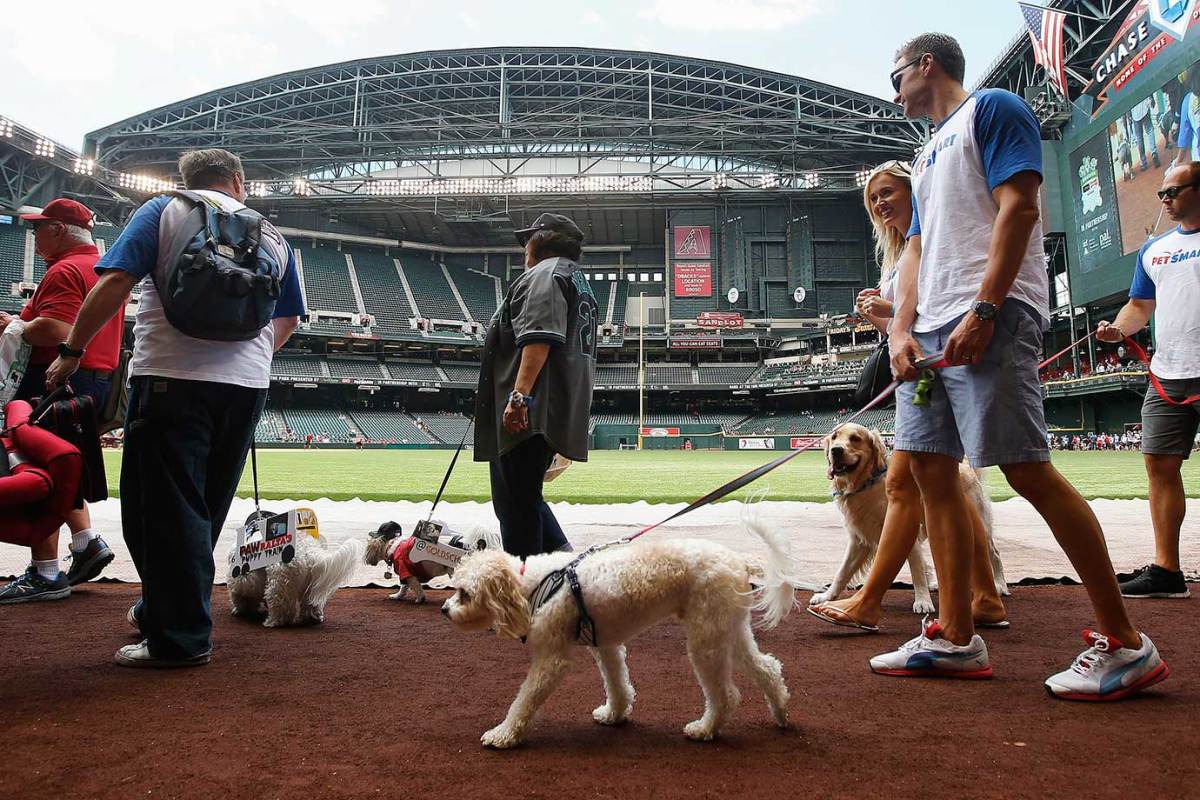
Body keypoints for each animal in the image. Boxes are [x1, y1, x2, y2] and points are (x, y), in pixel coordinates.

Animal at [228, 527, 360, 628]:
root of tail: (308, 552)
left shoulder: (245, 579)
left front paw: (239, 609)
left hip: (278, 584)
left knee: (279, 605)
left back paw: (272, 622)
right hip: (308, 587)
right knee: (310, 604)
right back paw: (312, 618)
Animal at [441, 520, 796, 753]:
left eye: (464, 593)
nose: (444, 609)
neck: (533, 584)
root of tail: (739, 561)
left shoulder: (551, 660)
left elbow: (524, 700)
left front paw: (503, 735)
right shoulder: (606, 645)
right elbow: (617, 683)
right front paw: (615, 714)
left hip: (705, 641)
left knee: (726, 695)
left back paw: (705, 729)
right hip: (729, 629)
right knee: (767, 668)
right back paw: (780, 714)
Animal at [811, 424, 1008, 614]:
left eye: (855, 438)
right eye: (834, 437)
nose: (835, 450)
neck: (867, 484)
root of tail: (966, 466)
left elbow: (916, 570)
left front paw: (922, 601)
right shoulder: (858, 539)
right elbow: (842, 572)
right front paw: (827, 596)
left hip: (979, 525)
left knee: (994, 553)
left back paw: (999, 585)